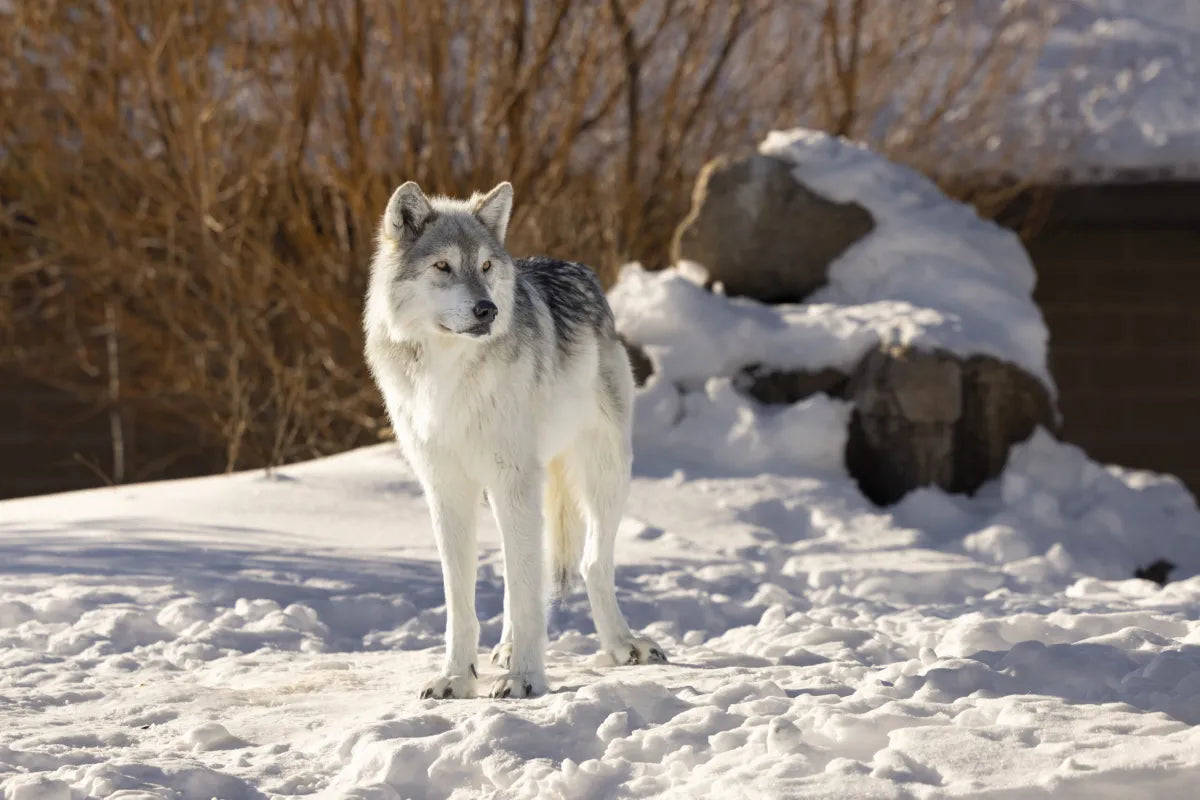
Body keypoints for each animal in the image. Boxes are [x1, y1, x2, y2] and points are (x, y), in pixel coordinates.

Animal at [363, 181, 666, 699]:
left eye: (486, 266)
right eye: (443, 266)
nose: (488, 309)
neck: (447, 374)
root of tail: (578, 268)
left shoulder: (513, 479)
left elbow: (527, 589)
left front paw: (525, 678)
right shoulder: (447, 489)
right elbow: (461, 599)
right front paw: (455, 677)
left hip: (602, 472)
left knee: (590, 563)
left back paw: (622, 645)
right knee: (520, 569)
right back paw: (506, 649)